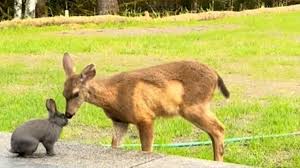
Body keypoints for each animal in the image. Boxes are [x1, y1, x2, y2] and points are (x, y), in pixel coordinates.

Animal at [61, 52, 230, 161]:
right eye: (63, 94)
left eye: (76, 93)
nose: (68, 114)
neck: (113, 97)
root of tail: (216, 75)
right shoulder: (120, 121)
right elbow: (114, 145)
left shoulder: (145, 117)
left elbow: (146, 148)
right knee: (214, 132)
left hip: (193, 106)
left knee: (219, 129)